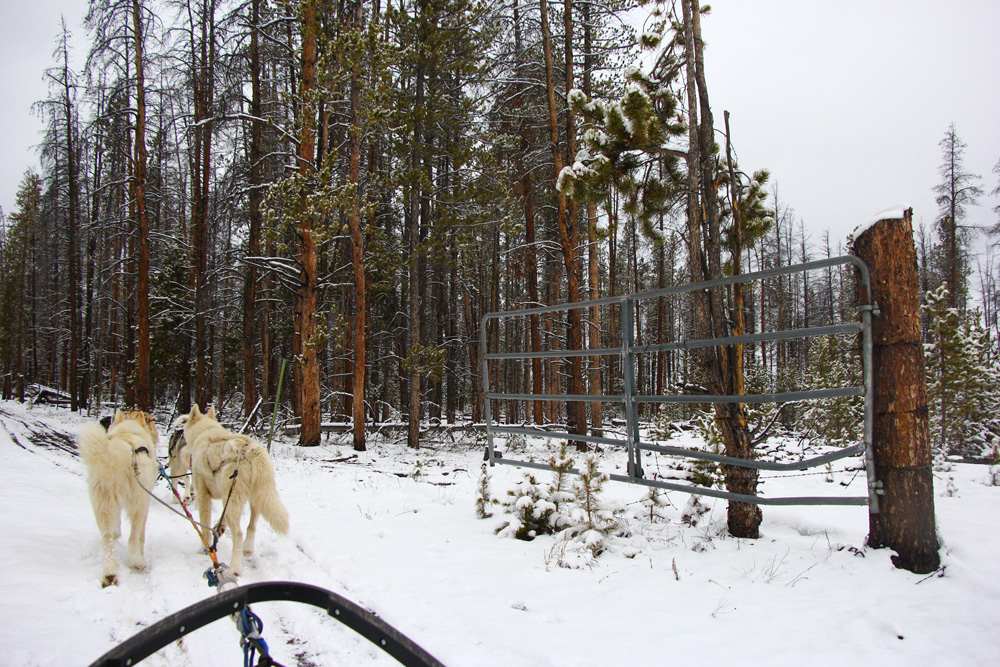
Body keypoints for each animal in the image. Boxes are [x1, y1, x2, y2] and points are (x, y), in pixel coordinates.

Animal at [79, 410, 159, 588]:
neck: (128, 433)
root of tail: (121, 450)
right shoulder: (144, 504)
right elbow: (141, 536)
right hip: (138, 503)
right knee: (133, 536)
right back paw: (137, 561)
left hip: (103, 504)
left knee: (107, 538)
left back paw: (109, 573)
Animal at [172, 404, 288, 576]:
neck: (206, 433)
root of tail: (249, 450)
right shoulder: (224, 498)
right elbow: (221, 520)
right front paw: (218, 529)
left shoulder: (204, 495)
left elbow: (204, 528)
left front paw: (204, 548)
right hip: (256, 498)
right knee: (251, 526)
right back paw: (247, 548)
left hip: (234, 499)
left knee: (238, 533)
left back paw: (235, 568)